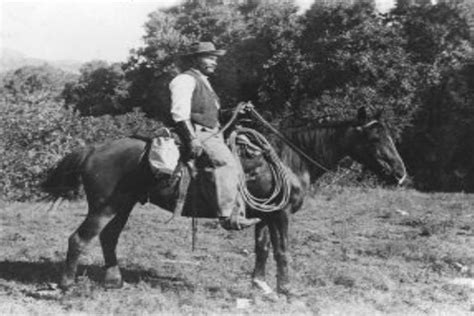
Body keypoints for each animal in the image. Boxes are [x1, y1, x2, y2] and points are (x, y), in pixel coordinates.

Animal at [40, 108, 406, 296]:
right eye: (375, 137)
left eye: (389, 136)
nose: (401, 173)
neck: (289, 160)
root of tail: (93, 149)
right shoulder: (282, 215)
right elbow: (283, 251)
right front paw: (287, 290)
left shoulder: (265, 215)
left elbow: (262, 249)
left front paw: (259, 285)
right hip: (104, 207)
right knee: (79, 239)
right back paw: (67, 284)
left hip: (124, 205)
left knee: (108, 238)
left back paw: (114, 280)